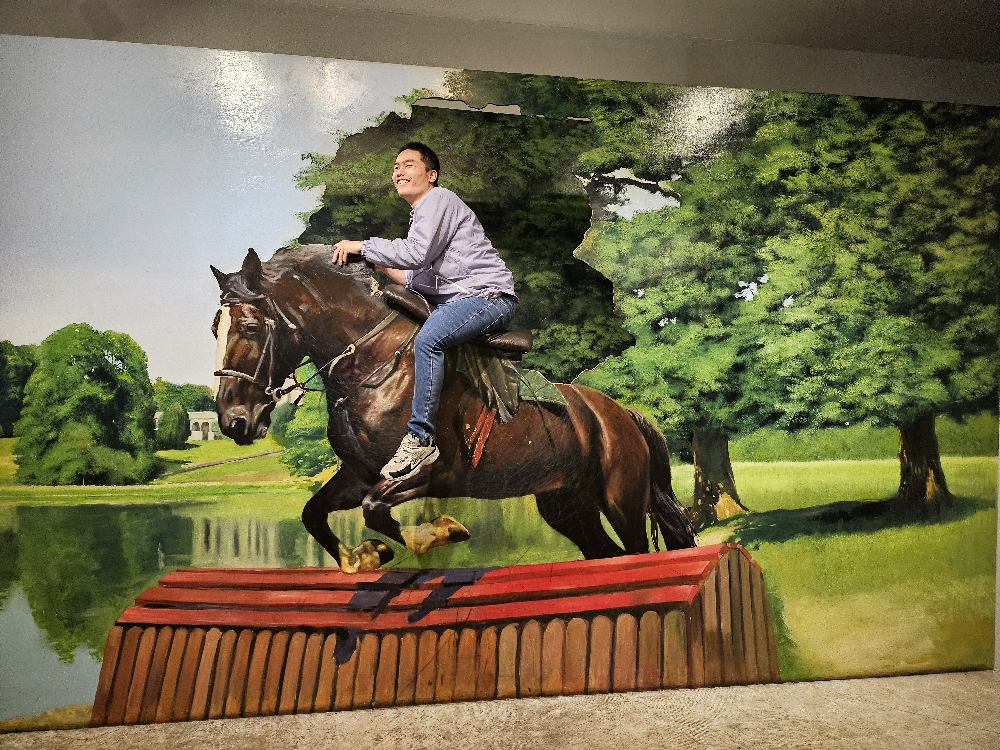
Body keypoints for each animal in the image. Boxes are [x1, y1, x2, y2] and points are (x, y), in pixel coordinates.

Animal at [212, 245, 696, 573]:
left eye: (250, 326)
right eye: (216, 326)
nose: (234, 421)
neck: (371, 366)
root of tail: (623, 414)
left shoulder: (428, 472)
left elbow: (375, 509)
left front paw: (437, 533)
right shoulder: (360, 473)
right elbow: (314, 512)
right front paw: (363, 557)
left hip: (620, 501)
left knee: (636, 551)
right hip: (566, 505)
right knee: (605, 554)